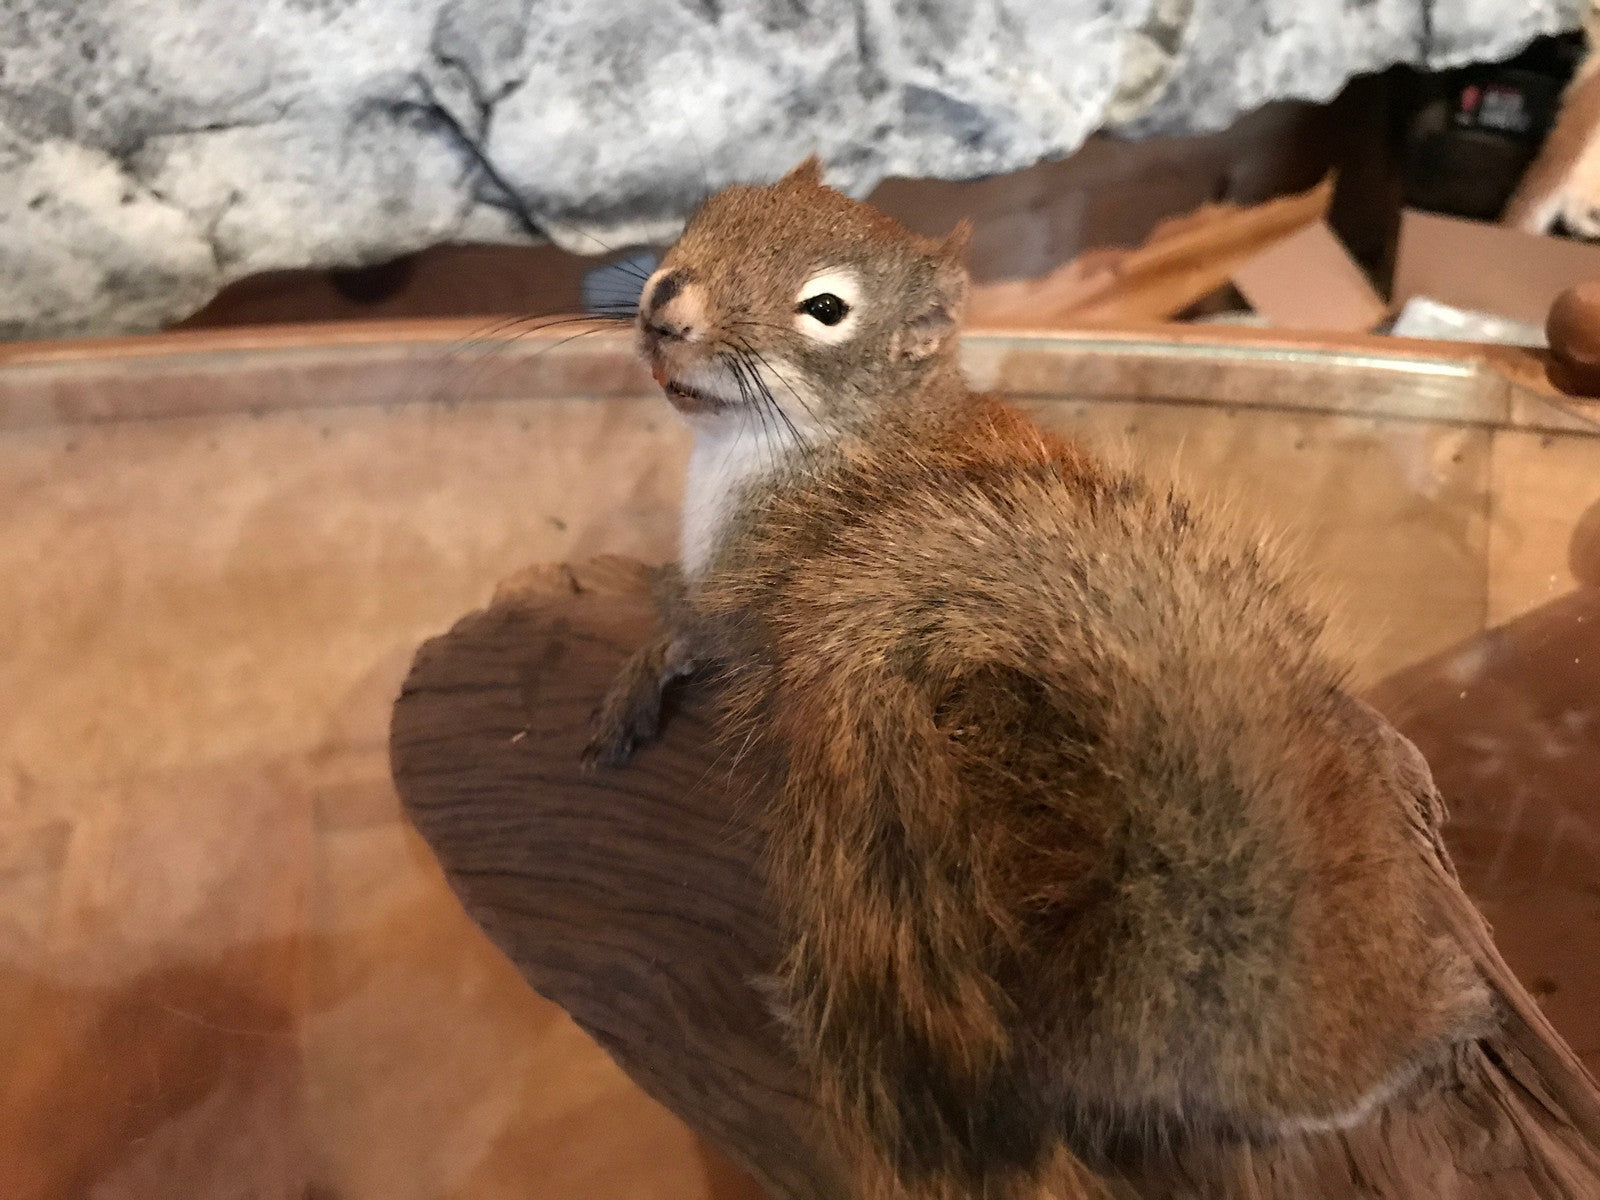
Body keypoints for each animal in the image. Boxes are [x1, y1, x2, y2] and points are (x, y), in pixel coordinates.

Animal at [583, 157, 1494, 1200]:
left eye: (826, 309)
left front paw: (644, 656)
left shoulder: (758, 580)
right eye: (712, 212)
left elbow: (699, 627)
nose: (666, 304)